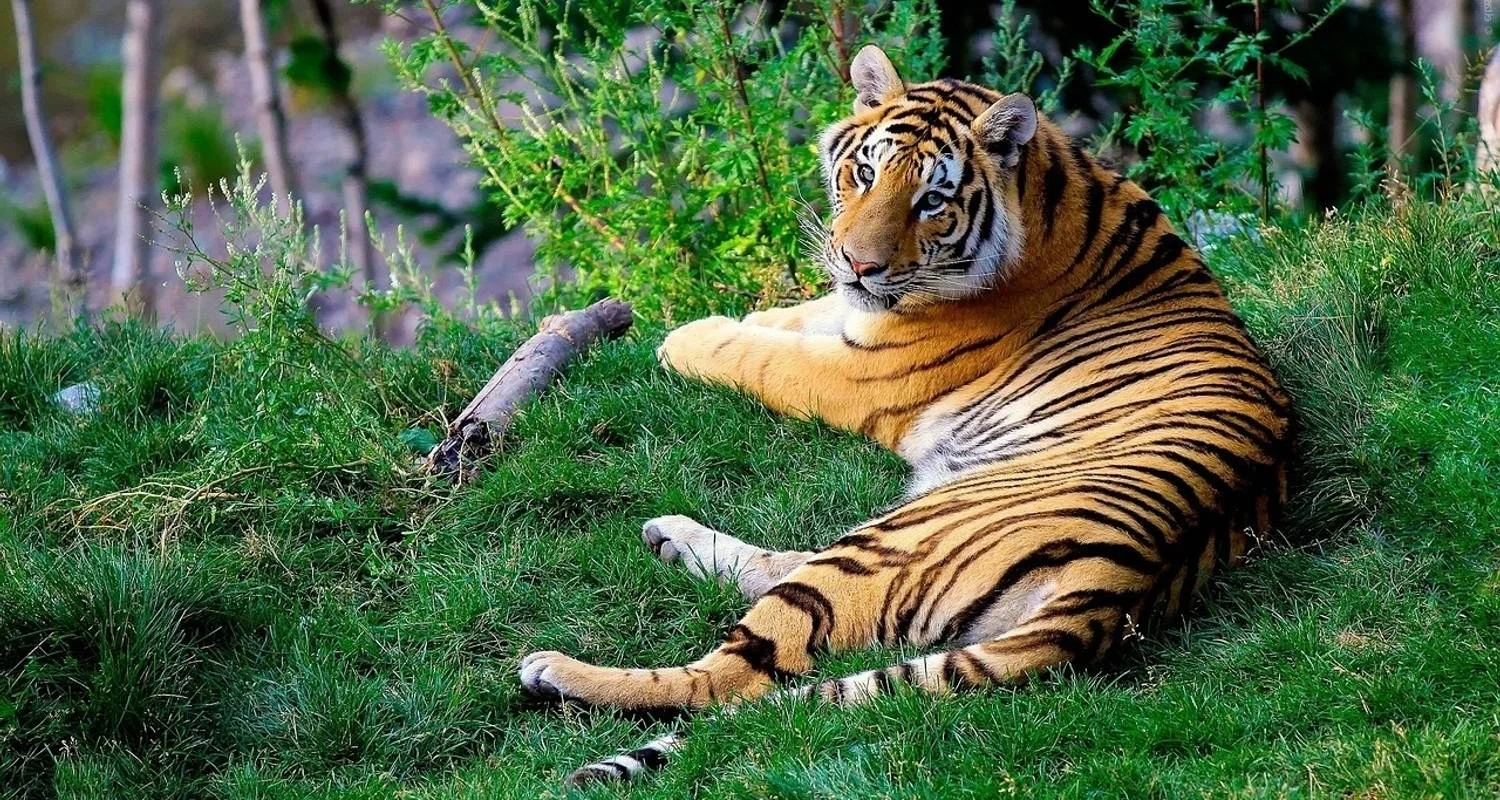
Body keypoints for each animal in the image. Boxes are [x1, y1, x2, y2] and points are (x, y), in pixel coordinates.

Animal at [519, 44, 1293, 785]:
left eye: (932, 201)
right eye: (863, 173)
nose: (860, 265)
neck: (1051, 191)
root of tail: (1120, 585)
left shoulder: (860, 373)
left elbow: (761, 356)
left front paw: (685, 337)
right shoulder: (855, 318)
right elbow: (797, 316)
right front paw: (747, 315)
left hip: (894, 538)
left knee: (731, 677)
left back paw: (557, 670)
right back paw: (670, 538)